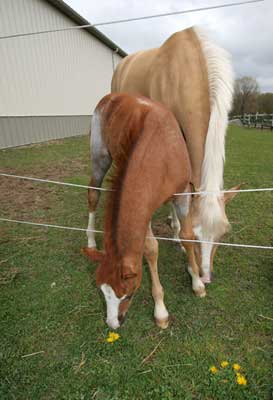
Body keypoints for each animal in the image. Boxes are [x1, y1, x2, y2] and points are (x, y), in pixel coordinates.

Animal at [83, 93, 196, 328]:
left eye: (125, 294)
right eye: (103, 292)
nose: (112, 323)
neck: (161, 154)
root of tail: (109, 97)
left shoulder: (182, 193)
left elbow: (188, 235)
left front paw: (198, 282)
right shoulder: (145, 210)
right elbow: (151, 249)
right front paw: (161, 310)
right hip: (100, 158)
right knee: (93, 193)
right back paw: (90, 240)